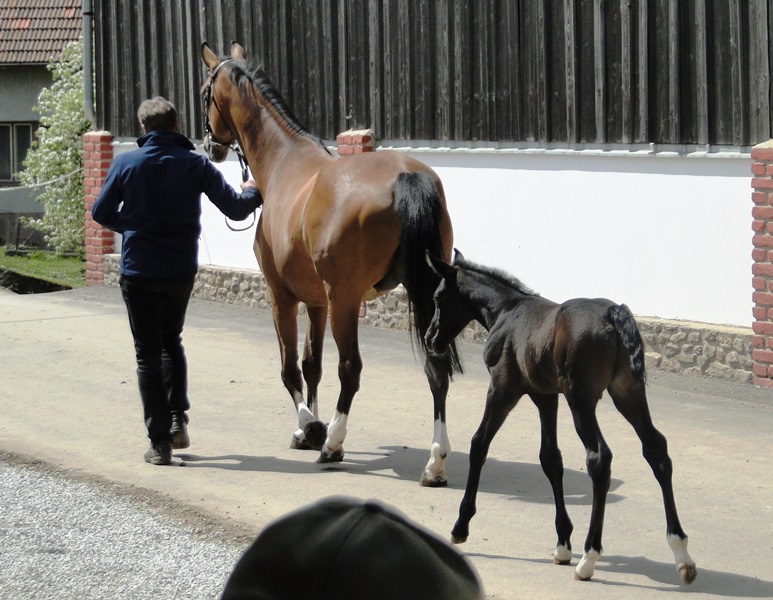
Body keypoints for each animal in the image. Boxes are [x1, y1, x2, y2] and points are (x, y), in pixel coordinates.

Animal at [200, 42, 461, 486]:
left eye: (205, 92)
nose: (210, 146)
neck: (284, 163)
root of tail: (406, 176)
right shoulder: (316, 301)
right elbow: (312, 365)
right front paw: (307, 428)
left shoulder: (283, 296)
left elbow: (290, 368)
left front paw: (310, 427)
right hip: (420, 292)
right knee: (436, 367)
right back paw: (436, 462)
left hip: (345, 301)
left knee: (351, 368)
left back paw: (333, 444)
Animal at [424, 250, 697, 584]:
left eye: (438, 297)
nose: (431, 339)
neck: (507, 312)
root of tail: (614, 313)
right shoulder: (546, 396)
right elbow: (550, 458)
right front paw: (562, 543)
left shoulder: (503, 388)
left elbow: (480, 444)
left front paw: (460, 526)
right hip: (627, 392)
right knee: (656, 449)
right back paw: (681, 553)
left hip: (581, 398)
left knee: (599, 458)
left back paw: (589, 557)